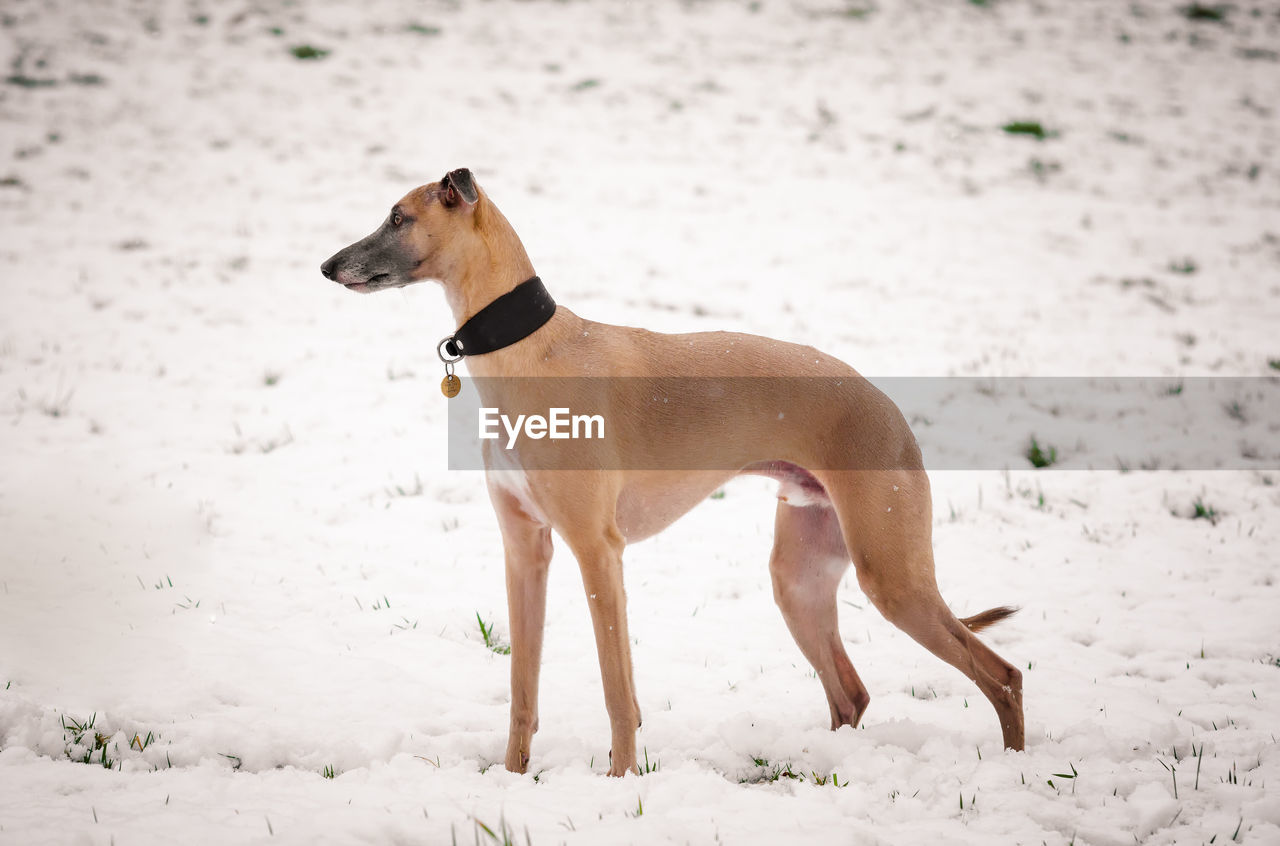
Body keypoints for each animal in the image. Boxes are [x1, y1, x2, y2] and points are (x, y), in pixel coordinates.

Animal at [325, 167, 1024, 773]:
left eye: (398, 216)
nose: (327, 266)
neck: (533, 351)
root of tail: (890, 408)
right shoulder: (524, 549)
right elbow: (523, 690)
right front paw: (513, 780)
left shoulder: (597, 550)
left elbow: (617, 692)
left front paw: (620, 784)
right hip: (799, 577)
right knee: (851, 692)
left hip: (891, 575)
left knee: (1003, 676)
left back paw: (1014, 767)